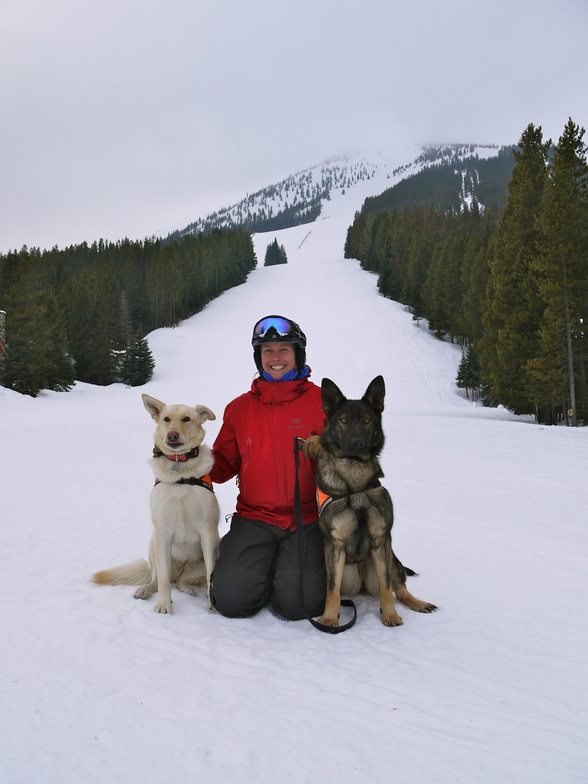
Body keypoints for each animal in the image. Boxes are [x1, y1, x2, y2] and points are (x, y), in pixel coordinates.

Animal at [92, 392, 220, 612]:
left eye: (186, 419)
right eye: (166, 419)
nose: (172, 435)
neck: (179, 468)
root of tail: (180, 571)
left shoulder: (208, 531)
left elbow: (212, 573)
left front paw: (211, 603)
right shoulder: (163, 531)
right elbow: (162, 581)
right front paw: (163, 605)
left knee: (182, 580)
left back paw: (187, 588)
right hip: (153, 544)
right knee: (159, 578)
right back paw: (146, 589)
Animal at [316, 376, 436, 628]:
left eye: (367, 420)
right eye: (343, 421)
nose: (358, 443)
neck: (356, 484)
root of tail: (361, 585)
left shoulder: (382, 540)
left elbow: (386, 585)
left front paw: (390, 615)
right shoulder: (335, 545)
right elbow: (332, 588)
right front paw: (330, 617)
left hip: (391, 558)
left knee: (400, 587)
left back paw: (419, 603)